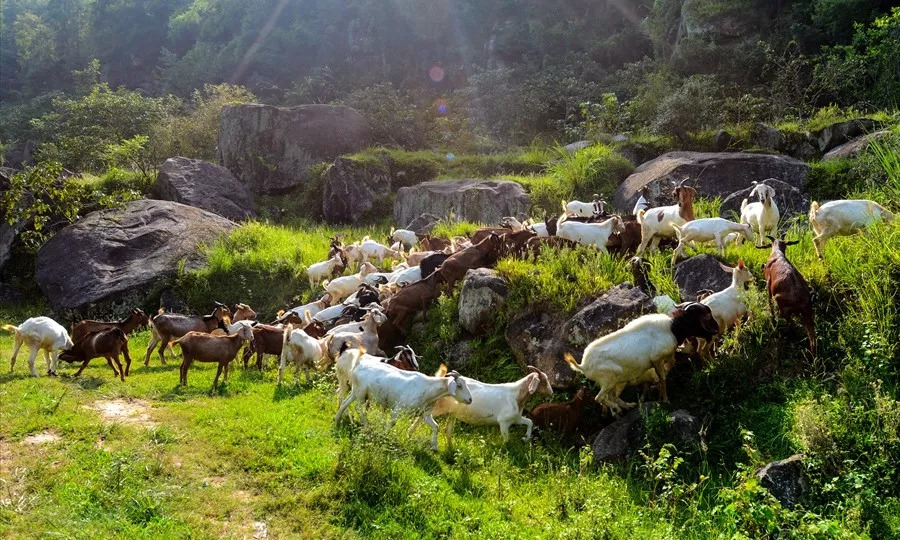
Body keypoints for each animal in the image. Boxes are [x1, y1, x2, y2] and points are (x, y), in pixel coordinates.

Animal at [333, 349, 472, 451]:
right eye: (459, 385)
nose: (470, 400)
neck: (428, 388)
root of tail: (358, 364)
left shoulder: (425, 413)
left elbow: (436, 426)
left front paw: (434, 447)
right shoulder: (399, 407)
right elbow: (392, 422)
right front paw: (383, 436)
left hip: (356, 391)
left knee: (345, 402)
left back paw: (337, 419)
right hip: (361, 393)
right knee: (358, 408)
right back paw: (366, 425)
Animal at [421, 365, 553, 447]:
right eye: (544, 381)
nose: (551, 392)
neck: (516, 395)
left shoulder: (516, 418)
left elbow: (530, 422)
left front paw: (526, 438)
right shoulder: (503, 421)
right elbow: (506, 440)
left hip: (452, 412)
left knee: (447, 430)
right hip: (437, 407)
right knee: (422, 416)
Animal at [564, 302, 720, 415]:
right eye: (706, 316)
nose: (717, 330)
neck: (672, 328)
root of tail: (583, 366)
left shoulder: (666, 356)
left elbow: (670, 364)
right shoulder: (657, 359)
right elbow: (662, 377)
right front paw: (665, 399)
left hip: (613, 382)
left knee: (611, 396)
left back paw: (628, 406)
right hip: (609, 380)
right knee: (600, 398)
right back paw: (618, 408)